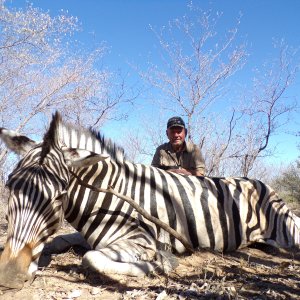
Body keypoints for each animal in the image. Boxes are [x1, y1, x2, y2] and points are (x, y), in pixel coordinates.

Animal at [0, 112, 298, 288]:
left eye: (60, 194)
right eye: (10, 185)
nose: (10, 274)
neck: (105, 193)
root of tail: (263, 185)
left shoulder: (140, 241)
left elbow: (91, 258)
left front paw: (160, 263)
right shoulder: (86, 235)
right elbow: (58, 240)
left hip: (286, 228)